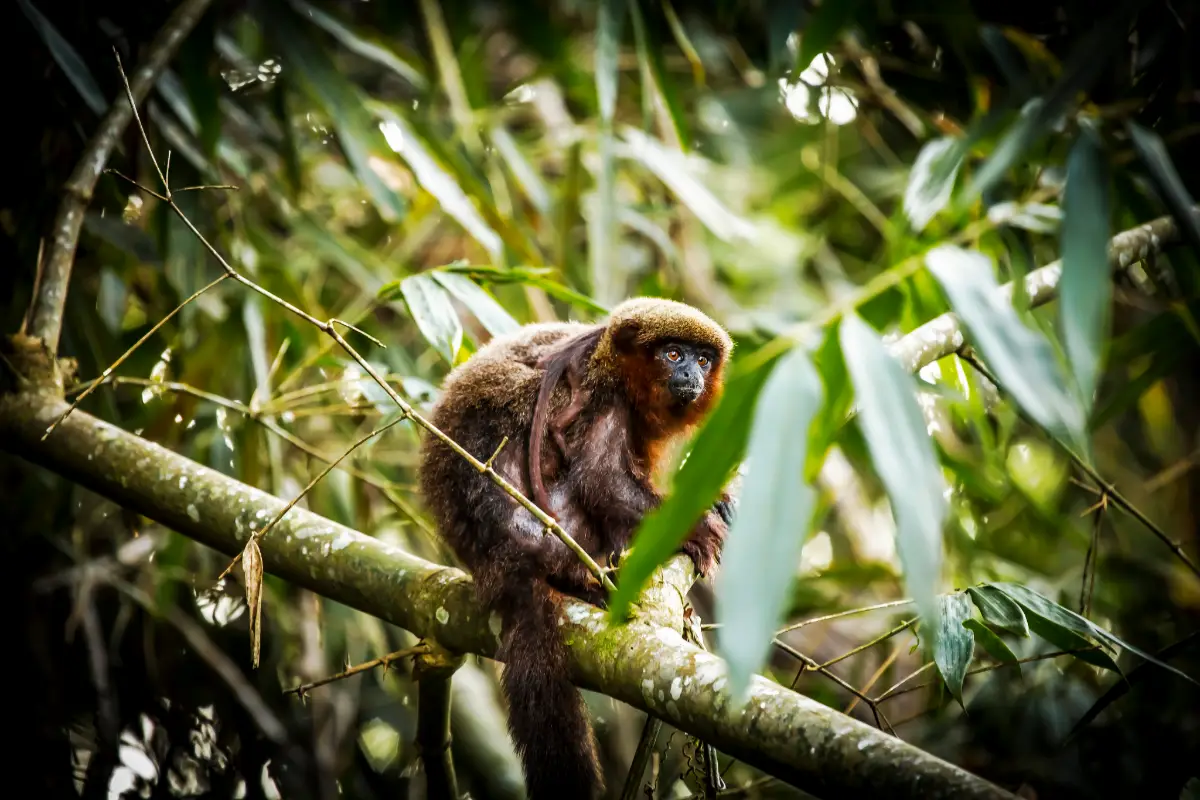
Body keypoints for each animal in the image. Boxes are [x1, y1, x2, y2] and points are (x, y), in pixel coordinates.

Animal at [419, 297, 734, 799]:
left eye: (703, 359)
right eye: (672, 354)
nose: (691, 373)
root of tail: (501, 560)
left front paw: (716, 503)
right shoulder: (605, 398)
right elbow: (602, 482)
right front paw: (699, 529)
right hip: (546, 531)